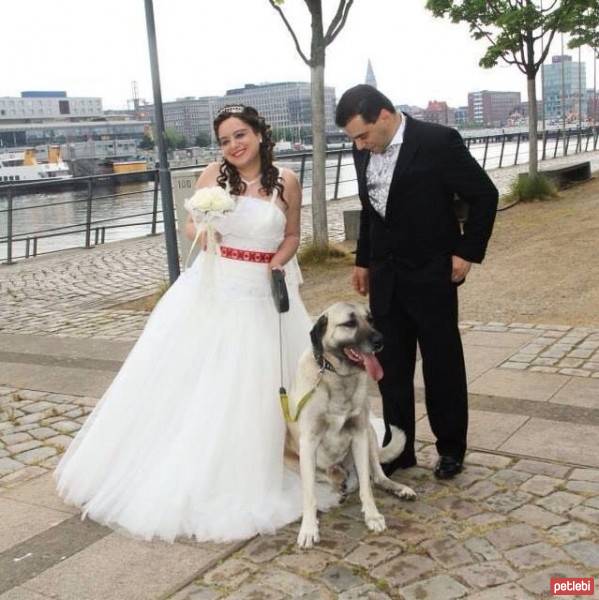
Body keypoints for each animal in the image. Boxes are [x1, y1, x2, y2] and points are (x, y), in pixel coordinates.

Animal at [286, 302, 418, 548]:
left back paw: (398, 489)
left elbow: (367, 486)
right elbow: (309, 495)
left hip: (370, 434)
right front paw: (308, 528)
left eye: (371, 319)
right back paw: (338, 478)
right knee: (324, 475)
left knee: (377, 477)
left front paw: (372, 515)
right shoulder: (308, 442)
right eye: (349, 323)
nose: (380, 341)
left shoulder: (359, 434)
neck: (337, 376)